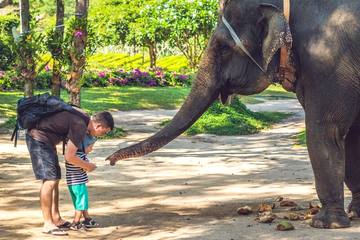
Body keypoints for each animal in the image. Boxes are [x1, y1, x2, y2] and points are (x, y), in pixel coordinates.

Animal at [107, 0, 360, 229]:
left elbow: (326, 131)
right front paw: (355, 214)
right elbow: (352, 137)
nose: (109, 160)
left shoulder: (327, 60)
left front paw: (326, 224)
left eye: (224, 47)